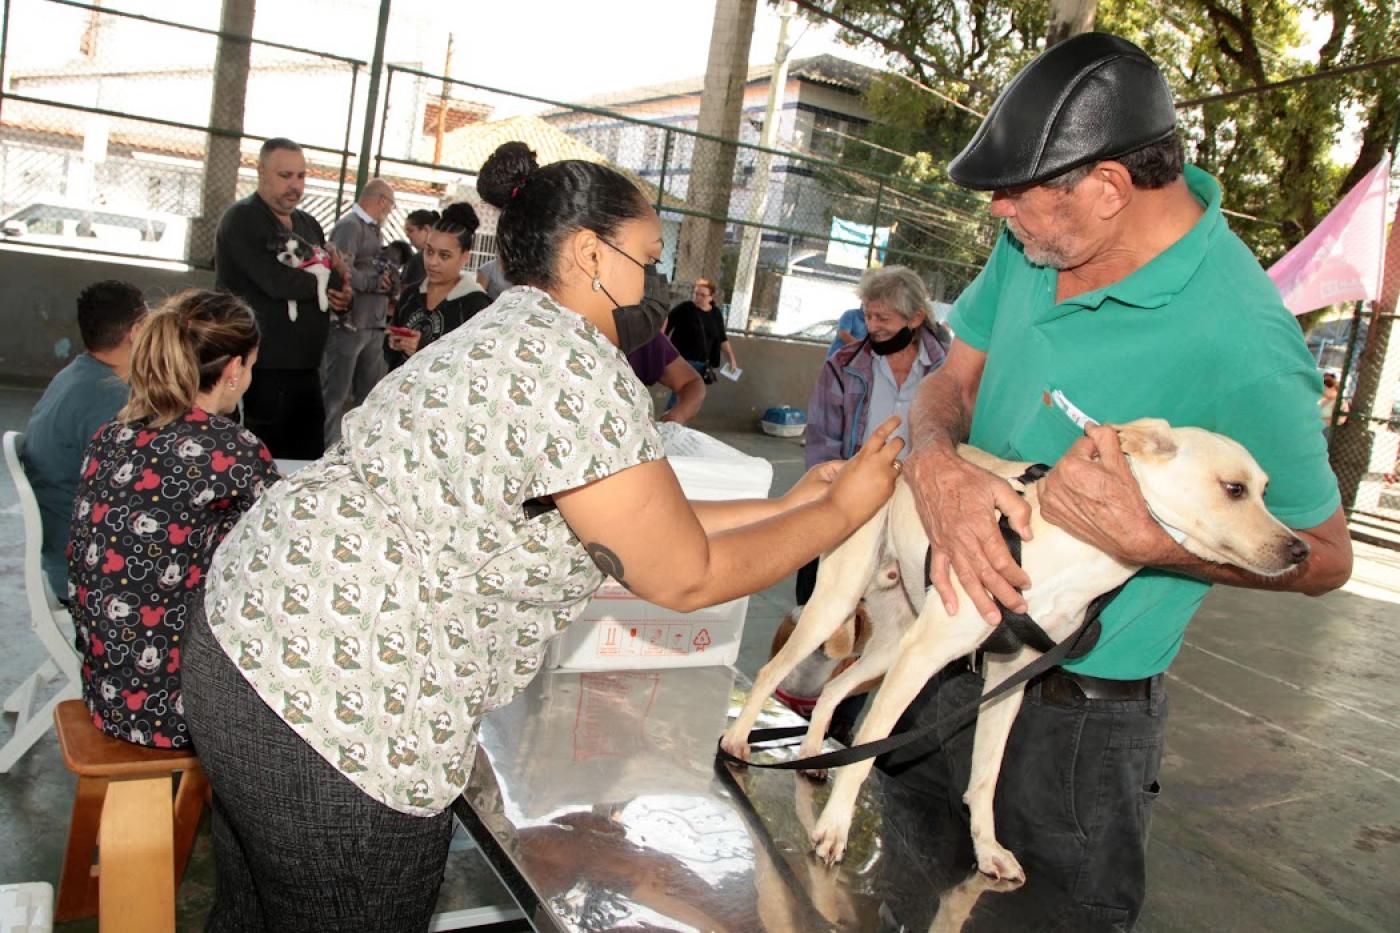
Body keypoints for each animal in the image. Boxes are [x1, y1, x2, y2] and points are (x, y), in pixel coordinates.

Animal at [722, 420, 1310, 879]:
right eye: (1234, 489)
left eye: (1265, 490)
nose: (1301, 550)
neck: (1073, 549)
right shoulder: (926, 654)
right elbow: (868, 749)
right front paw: (835, 830)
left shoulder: (1009, 678)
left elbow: (986, 776)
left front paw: (987, 849)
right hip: (840, 610)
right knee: (775, 672)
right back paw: (737, 741)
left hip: (894, 646)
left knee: (837, 686)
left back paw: (813, 753)